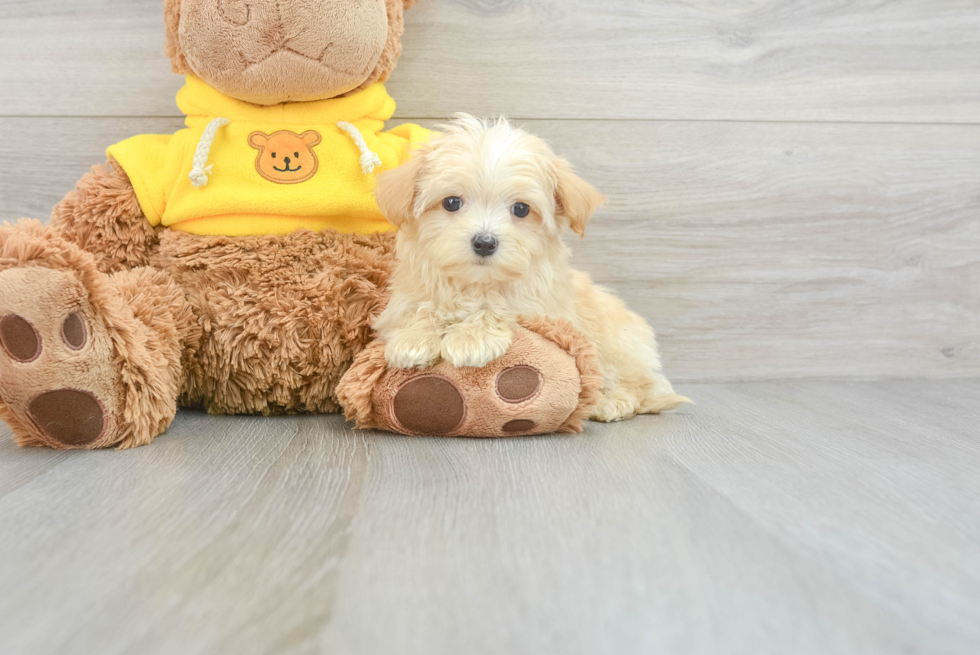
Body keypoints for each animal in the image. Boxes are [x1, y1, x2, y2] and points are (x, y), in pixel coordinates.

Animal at [372, 115, 684, 422]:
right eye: (451, 202)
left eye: (521, 209)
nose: (485, 242)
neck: (477, 284)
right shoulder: (406, 297)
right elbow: (419, 309)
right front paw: (412, 338)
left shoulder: (543, 308)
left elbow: (503, 307)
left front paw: (472, 338)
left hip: (617, 347)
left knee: (638, 385)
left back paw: (611, 403)